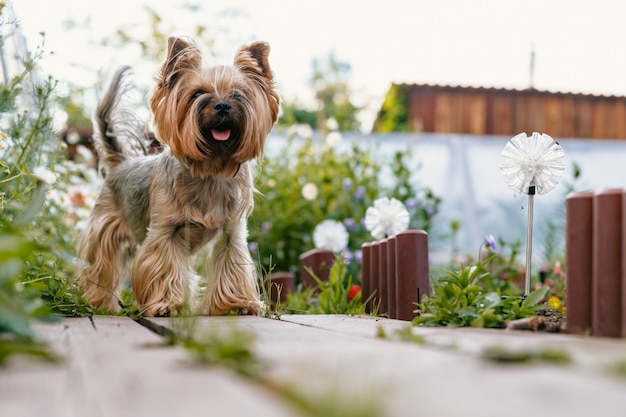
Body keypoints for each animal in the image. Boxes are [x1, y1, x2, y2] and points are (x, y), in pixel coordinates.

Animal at [77, 36, 278, 316]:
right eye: (197, 94)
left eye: (238, 94)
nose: (223, 106)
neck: (210, 169)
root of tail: (121, 162)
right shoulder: (166, 231)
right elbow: (164, 266)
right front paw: (167, 305)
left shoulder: (232, 231)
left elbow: (231, 263)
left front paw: (235, 304)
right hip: (104, 227)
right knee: (100, 266)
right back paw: (99, 302)